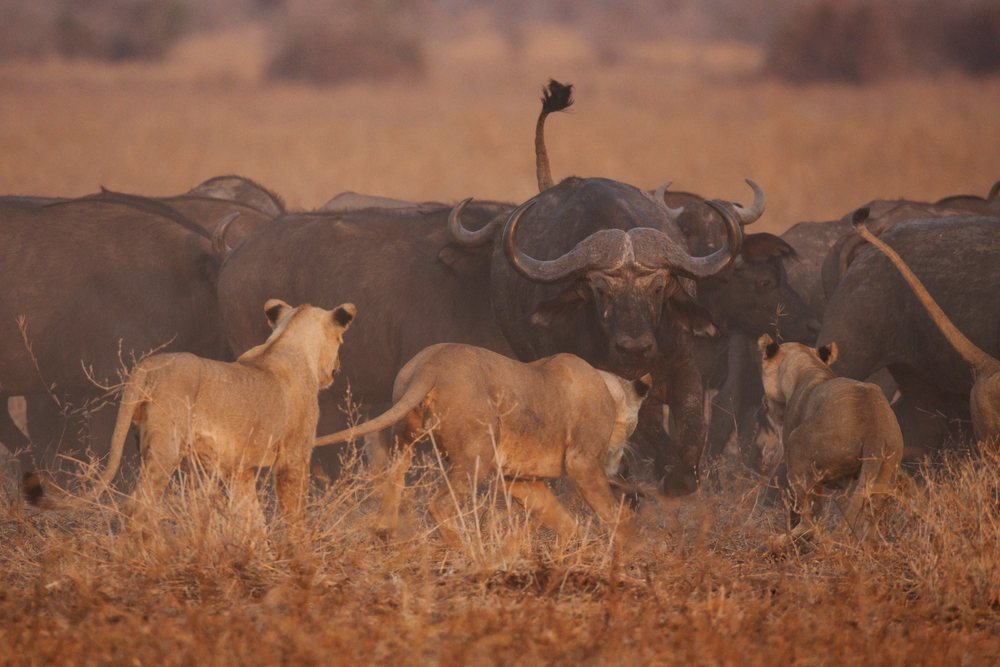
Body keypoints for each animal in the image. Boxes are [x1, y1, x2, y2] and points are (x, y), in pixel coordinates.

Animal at [25, 299, 355, 521]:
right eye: (341, 339)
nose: (337, 368)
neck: (288, 342)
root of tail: (148, 364)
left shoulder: (239, 468)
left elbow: (251, 518)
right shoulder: (293, 458)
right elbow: (293, 515)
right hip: (167, 446)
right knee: (139, 505)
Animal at [315, 343, 652, 548]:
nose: (623, 462)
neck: (610, 390)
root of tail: (431, 365)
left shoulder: (519, 479)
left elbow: (560, 519)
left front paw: (580, 550)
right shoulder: (582, 464)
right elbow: (615, 514)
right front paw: (631, 553)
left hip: (405, 441)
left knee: (392, 485)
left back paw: (389, 534)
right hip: (476, 454)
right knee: (439, 505)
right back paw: (468, 552)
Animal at [757, 335, 903, 545]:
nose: (764, 403)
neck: (808, 365)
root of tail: (874, 426)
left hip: (797, 445)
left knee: (810, 518)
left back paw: (782, 539)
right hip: (885, 473)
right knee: (869, 524)